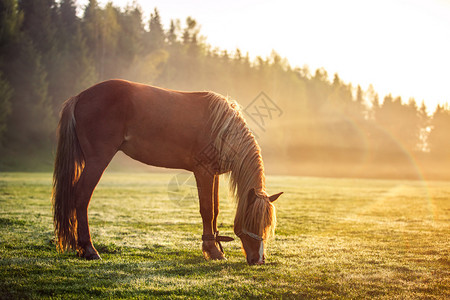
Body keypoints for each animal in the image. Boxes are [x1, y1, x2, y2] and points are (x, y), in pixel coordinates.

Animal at [52, 79, 284, 264]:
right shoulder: (203, 172)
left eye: (266, 225)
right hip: (97, 160)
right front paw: (212, 250)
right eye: (252, 222)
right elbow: (207, 210)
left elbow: (215, 210)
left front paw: (216, 247)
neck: (222, 129)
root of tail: (80, 97)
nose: (259, 260)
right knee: (82, 196)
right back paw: (89, 249)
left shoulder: (215, 174)